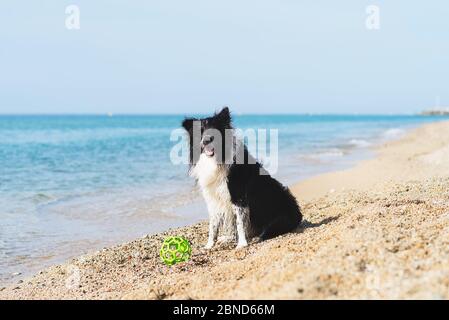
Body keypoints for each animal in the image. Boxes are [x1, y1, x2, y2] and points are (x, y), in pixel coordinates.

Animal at [181, 107, 300, 250]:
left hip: (281, 217)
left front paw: (242, 244)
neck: (216, 159)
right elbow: (213, 225)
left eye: (215, 130)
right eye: (200, 131)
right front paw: (209, 245)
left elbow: (240, 222)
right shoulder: (213, 197)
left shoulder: (238, 196)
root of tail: (299, 215)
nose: (206, 140)